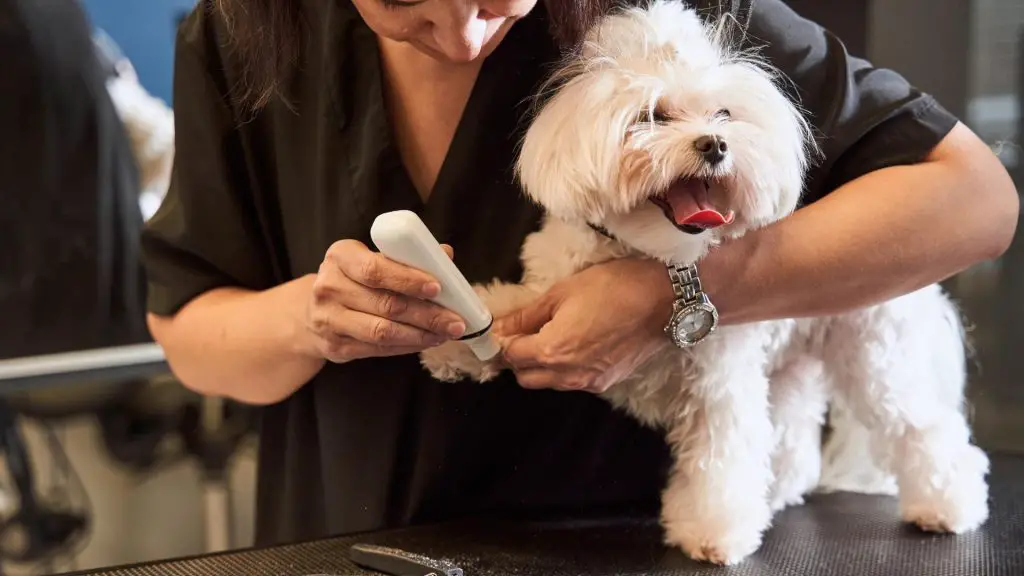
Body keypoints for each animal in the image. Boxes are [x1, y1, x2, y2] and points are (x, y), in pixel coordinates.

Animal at [419, 0, 987, 561]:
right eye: (652, 115)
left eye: (724, 114)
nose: (714, 144)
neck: (650, 252)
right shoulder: (550, 285)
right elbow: (505, 306)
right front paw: (452, 342)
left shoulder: (719, 379)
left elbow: (721, 457)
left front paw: (714, 531)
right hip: (791, 367)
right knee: (792, 438)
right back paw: (779, 492)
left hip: (879, 358)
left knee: (923, 429)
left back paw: (949, 505)